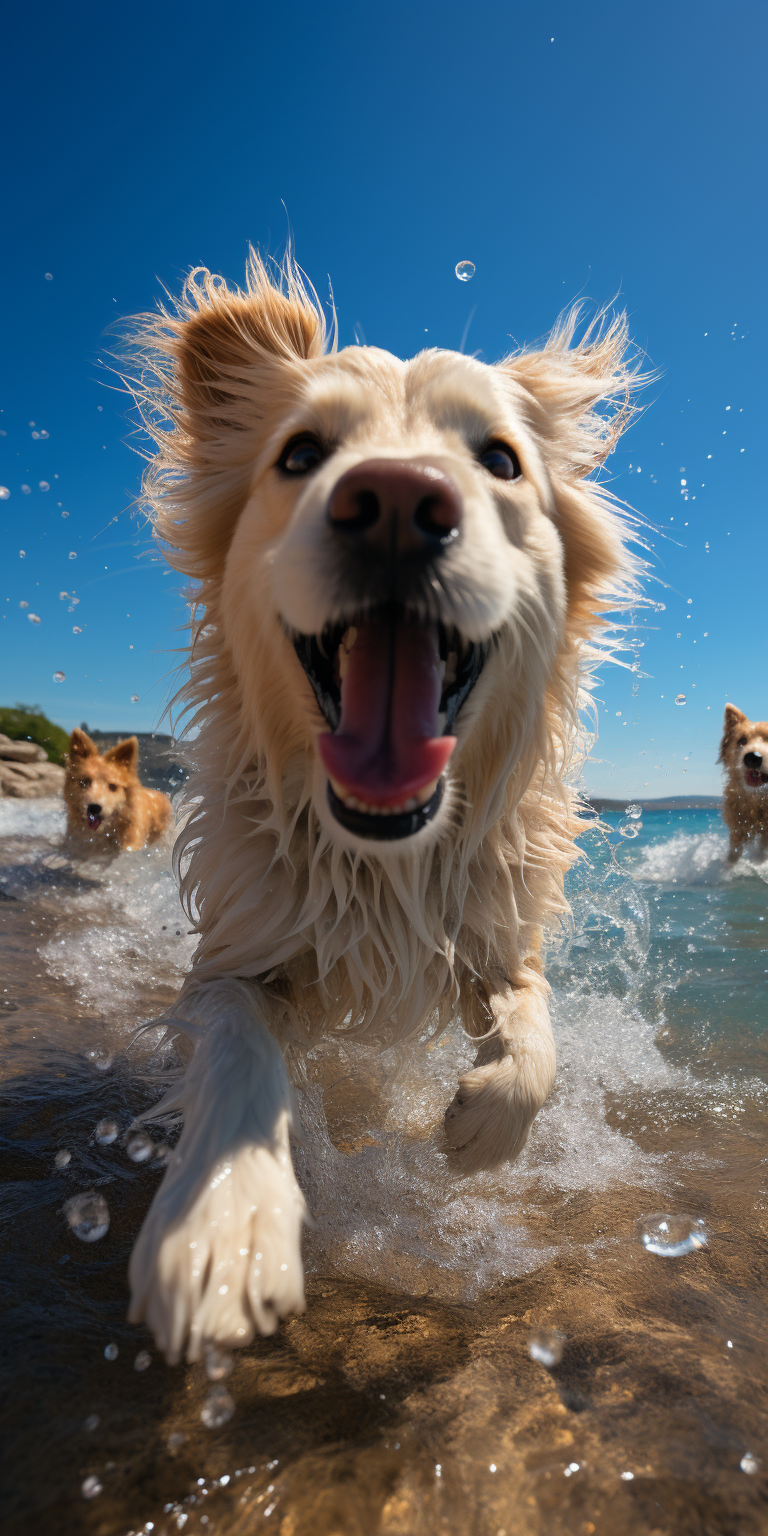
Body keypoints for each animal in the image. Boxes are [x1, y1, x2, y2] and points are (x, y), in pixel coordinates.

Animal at [125, 254, 642, 1370]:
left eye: (500, 459)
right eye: (299, 453)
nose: (400, 500)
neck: (383, 860)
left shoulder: (496, 928)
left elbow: (535, 1028)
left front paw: (483, 1124)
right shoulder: (234, 955)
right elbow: (238, 1047)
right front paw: (227, 1223)